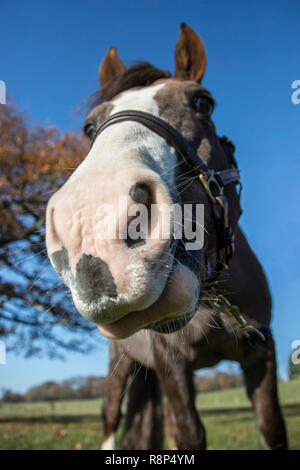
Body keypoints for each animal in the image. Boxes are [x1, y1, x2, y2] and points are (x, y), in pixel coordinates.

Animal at [45, 23, 288, 450]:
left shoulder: (262, 354)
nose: (92, 222)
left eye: (203, 103)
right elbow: (189, 433)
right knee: (111, 417)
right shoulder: (171, 360)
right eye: (90, 127)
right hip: (122, 367)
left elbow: (271, 427)